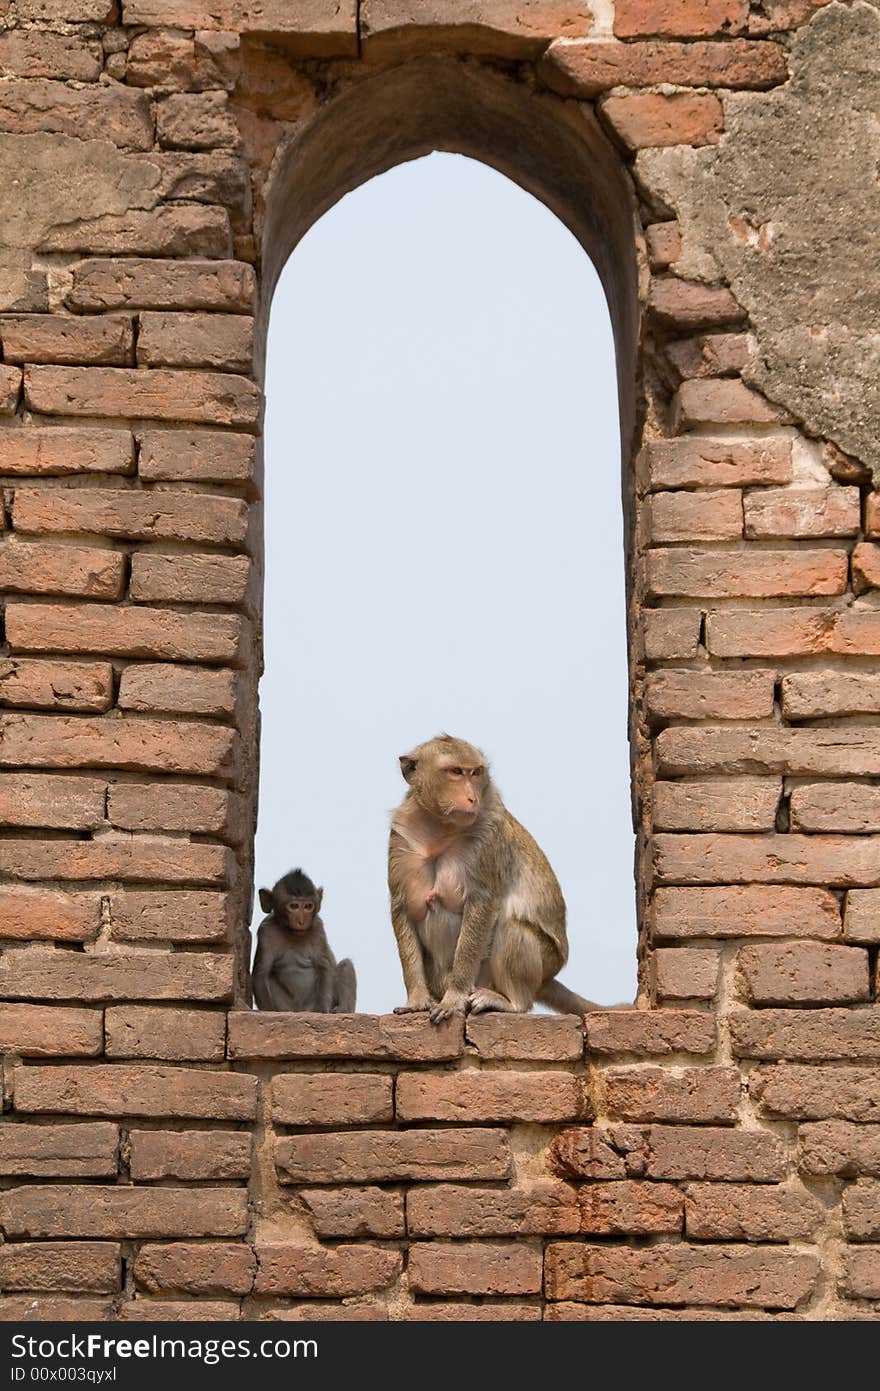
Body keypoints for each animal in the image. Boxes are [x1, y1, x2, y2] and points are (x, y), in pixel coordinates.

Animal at [248, 867, 355, 1012]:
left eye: (308, 907)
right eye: (294, 906)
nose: (301, 921)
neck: (292, 933)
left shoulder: (318, 928)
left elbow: (324, 967)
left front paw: (322, 1011)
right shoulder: (266, 931)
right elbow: (261, 973)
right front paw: (268, 1011)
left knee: (346, 965)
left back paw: (342, 1010)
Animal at [389, 740, 600, 1023]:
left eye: (476, 772)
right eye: (455, 771)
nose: (472, 798)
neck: (441, 828)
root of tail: (546, 979)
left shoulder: (487, 838)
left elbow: (482, 905)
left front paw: (454, 998)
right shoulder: (401, 838)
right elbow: (404, 908)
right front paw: (416, 1001)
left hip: (545, 961)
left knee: (512, 927)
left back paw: (511, 1002)